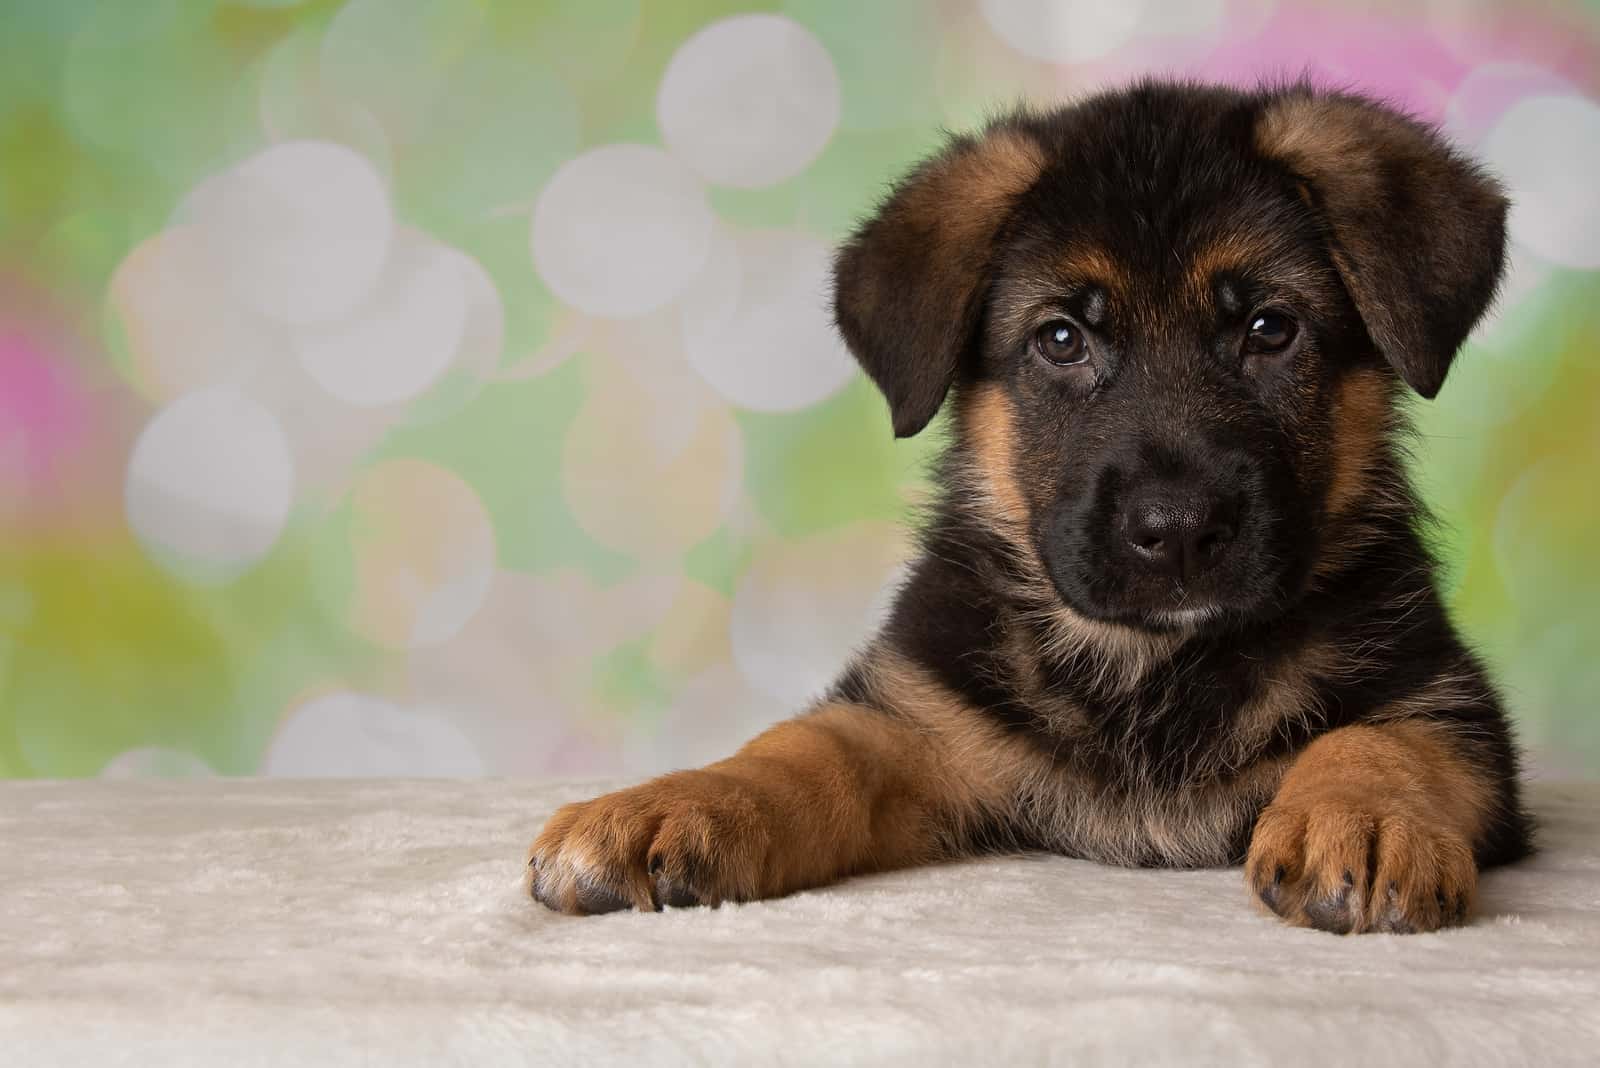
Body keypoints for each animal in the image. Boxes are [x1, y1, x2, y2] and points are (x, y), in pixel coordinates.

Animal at [531, 81, 1529, 933]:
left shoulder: (1450, 706)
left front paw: (1363, 819)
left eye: (1269, 329)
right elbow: (802, 749)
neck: (1148, 669)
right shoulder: (918, 719)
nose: (1177, 533)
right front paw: (670, 803)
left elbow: (1382, 740)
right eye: (1060, 338)